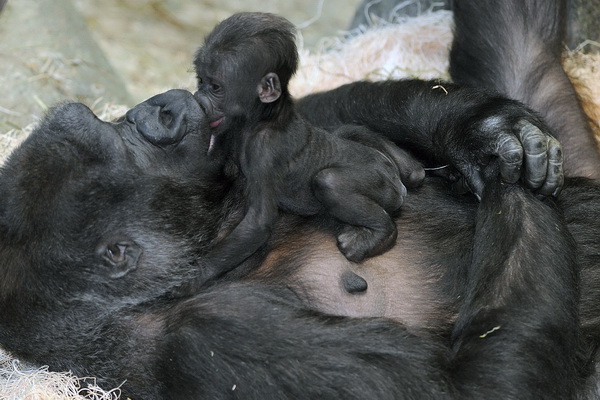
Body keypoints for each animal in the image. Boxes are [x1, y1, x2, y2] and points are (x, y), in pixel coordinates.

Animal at [192, 12, 422, 282]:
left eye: (215, 87)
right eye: (201, 81)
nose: (199, 98)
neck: (263, 116)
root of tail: (396, 181)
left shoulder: (264, 149)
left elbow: (258, 222)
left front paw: (191, 278)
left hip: (382, 185)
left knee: (330, 182)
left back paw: (380, 234)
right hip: (386, 159)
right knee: (351, 133)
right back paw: (413, 171)